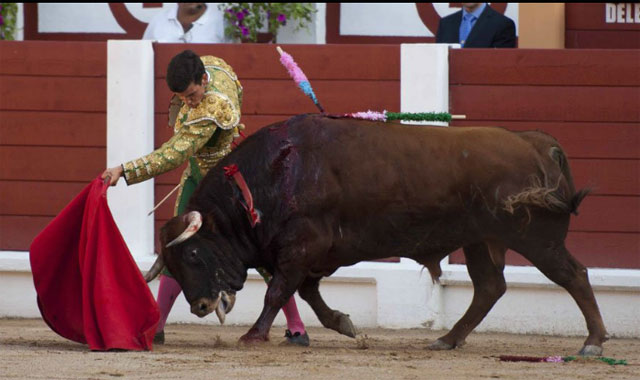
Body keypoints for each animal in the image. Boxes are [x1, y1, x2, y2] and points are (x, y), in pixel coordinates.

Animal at [145, 115, 608, 356]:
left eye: (192, 256)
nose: (200, 306)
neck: (269, 178)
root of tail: (538, 143)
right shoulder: (312, 255)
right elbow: (307, 293)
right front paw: (344, 324)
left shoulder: (302, 247)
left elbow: (278, 292)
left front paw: (253, 335)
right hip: (479, 239)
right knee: (490, 287)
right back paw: (446, 339)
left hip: (538, 239)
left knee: (574, 275)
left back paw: (593, 342)